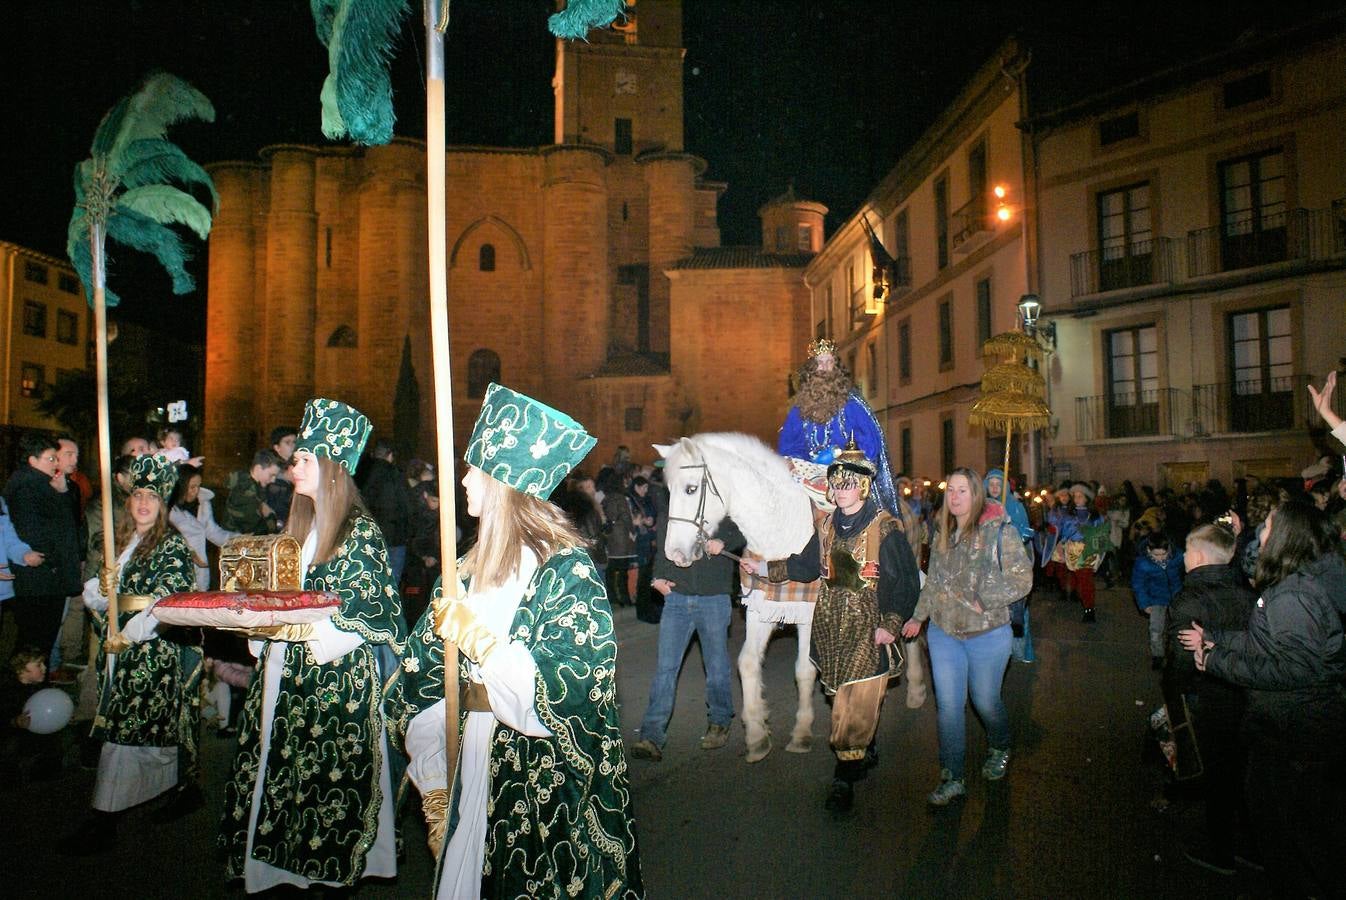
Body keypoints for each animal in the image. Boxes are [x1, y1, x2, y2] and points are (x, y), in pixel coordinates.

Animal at [648, 430, 812, 764]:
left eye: (691, 488)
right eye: (668, 491)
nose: (673, 554)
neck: (782, 532)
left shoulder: (810, 611)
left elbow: (805, 670)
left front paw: (802, 733)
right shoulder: (760, 609)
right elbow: (747, 663)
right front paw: (757, 735)